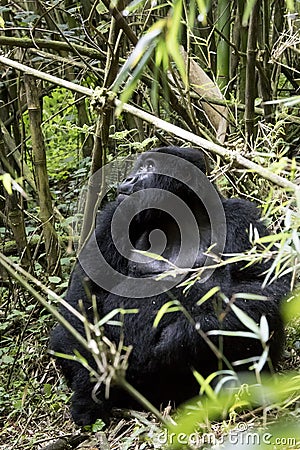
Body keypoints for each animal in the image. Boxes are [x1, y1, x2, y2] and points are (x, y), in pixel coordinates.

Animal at [50, 148, 292, 426]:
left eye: (149, 166)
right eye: (138, 167)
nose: (129, 179)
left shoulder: (241, 217)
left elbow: (268, 288)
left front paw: (181, 338)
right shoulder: (114, 215)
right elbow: (80, 301)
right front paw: (88, 394)